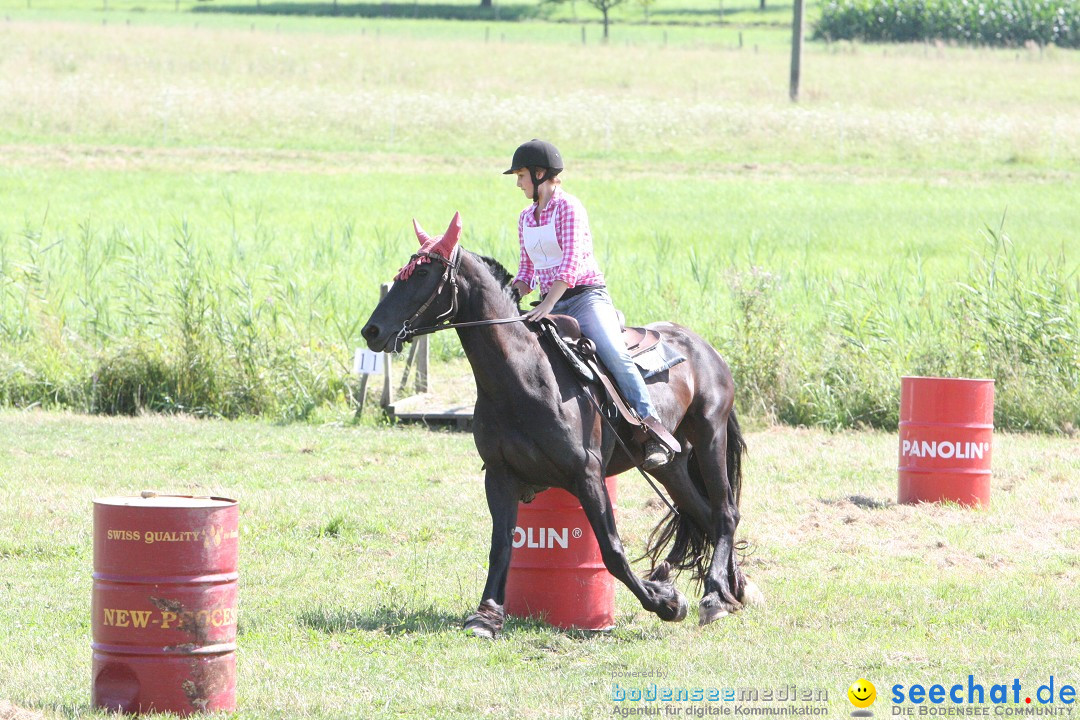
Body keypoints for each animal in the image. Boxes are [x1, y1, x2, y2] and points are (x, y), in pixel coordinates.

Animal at [358, 212, 756, 634]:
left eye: (423, 273)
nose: (372, 331)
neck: (523, 378)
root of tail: (705, 348)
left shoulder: (588, 475)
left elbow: (612, 551)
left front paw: (665, 601)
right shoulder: (500, 474)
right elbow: (501, 546)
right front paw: (487, 615)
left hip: (710, 434)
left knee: (725, 512)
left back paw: (714, 596)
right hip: (673, 466)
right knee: (707, 516)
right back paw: (733, 588)